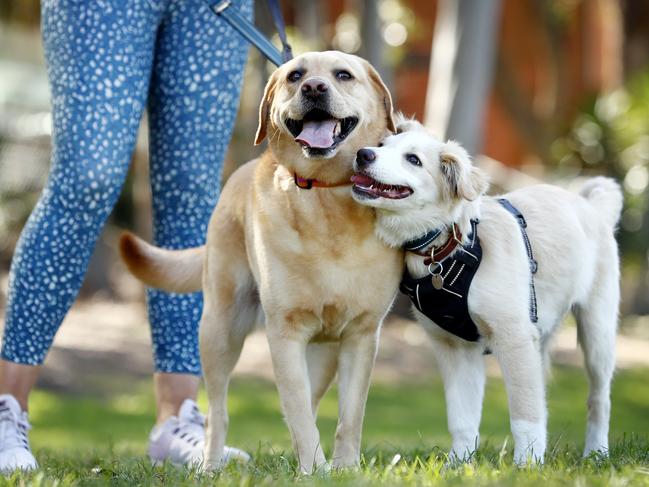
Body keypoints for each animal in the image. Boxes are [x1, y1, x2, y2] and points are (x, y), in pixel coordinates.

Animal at [116, 50, 400, 472]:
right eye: (295, 76)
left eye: (343, 75)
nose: (313, 88)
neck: (326, 194)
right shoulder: (284, 334)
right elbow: (298, 413)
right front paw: (313, 472)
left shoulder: (361, 337)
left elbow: (348, 417)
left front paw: (345, 470)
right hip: (220, 329)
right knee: (218, 413)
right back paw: (210, 465)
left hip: (323, 353)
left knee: (309, 403)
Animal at [350, 118, 624, 466]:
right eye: (382, 145)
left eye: (413, 159)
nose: (363, 154)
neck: (448, 245)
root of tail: (591, 206)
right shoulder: (455, 348)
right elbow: (462, 417)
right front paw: (458, 463)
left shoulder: (514, 338)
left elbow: (524, 413)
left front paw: (527, 465)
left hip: (597, 333)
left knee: (598, 399)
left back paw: (597, 453)